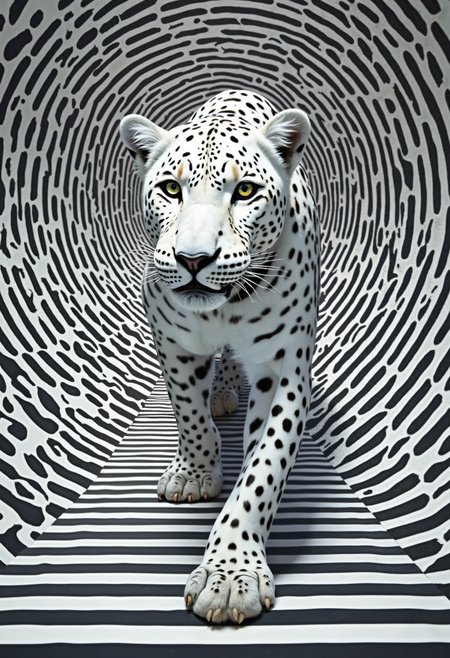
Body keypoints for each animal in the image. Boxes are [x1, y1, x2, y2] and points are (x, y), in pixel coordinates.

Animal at [120, 89, 320, 624]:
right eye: (171, 188)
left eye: (245, 191)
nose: (193, 259)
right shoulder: (170, 337)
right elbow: (187, 413)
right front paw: (194, 474)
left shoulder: (283, 366)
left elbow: (263, 471)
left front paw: (231, 576)